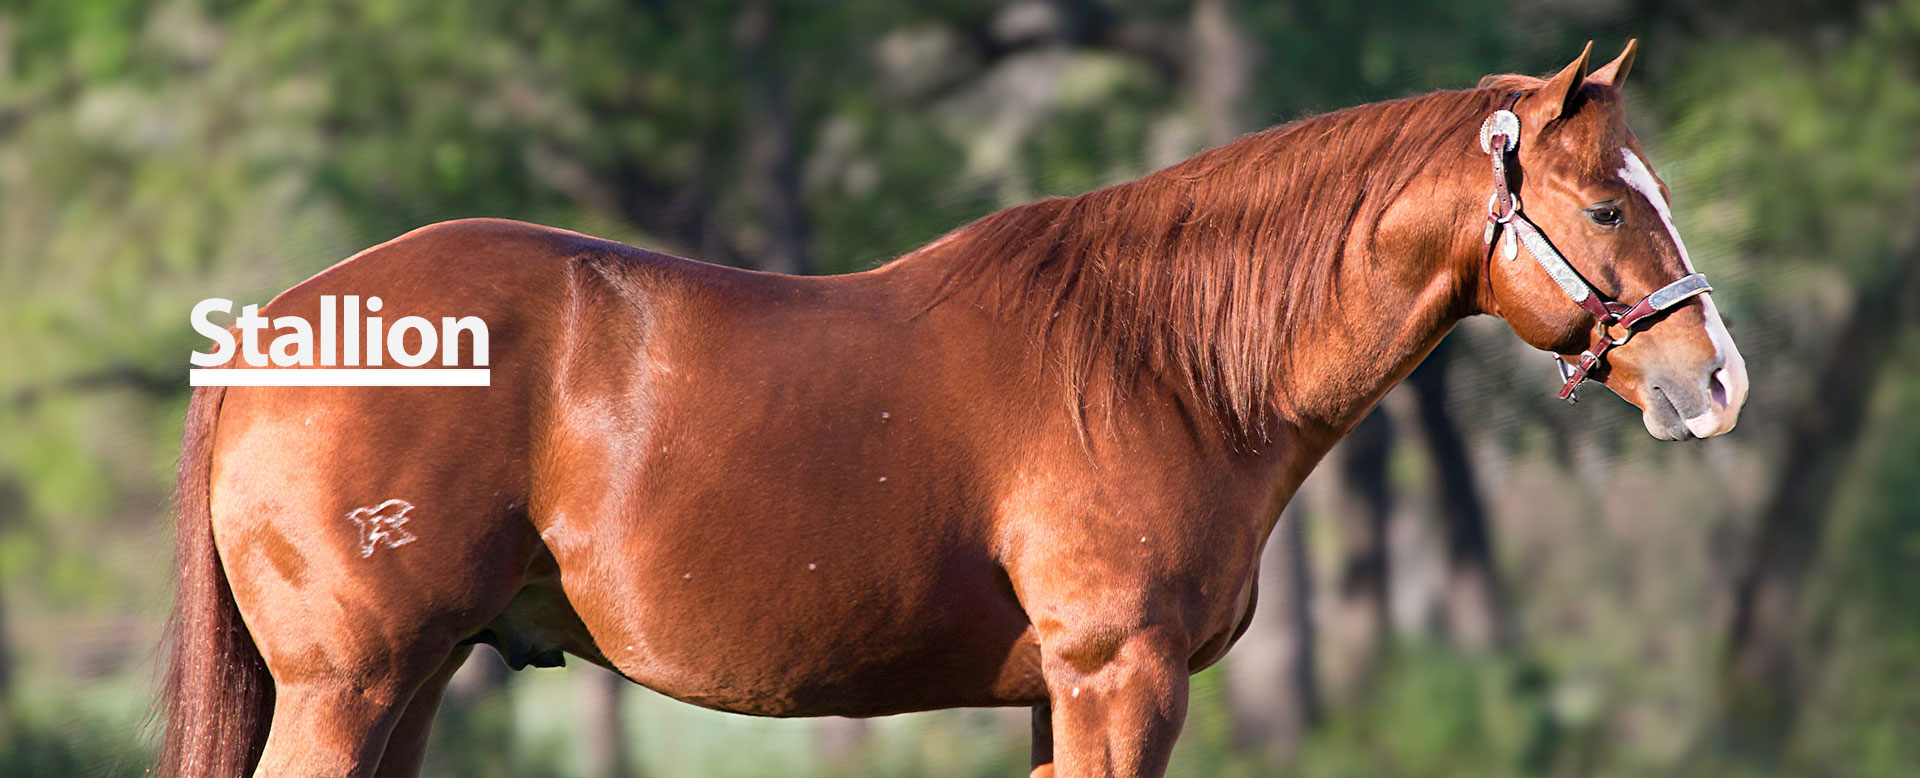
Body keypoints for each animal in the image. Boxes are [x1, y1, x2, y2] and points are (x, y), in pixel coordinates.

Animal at [165, 43, 1751, 776]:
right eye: (1609, 206)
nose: (1717, 379)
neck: (1158, 357)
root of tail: (279, 325)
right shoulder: (1122, 679)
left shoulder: (1059, 695)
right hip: (351, 683)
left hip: (413, 678)